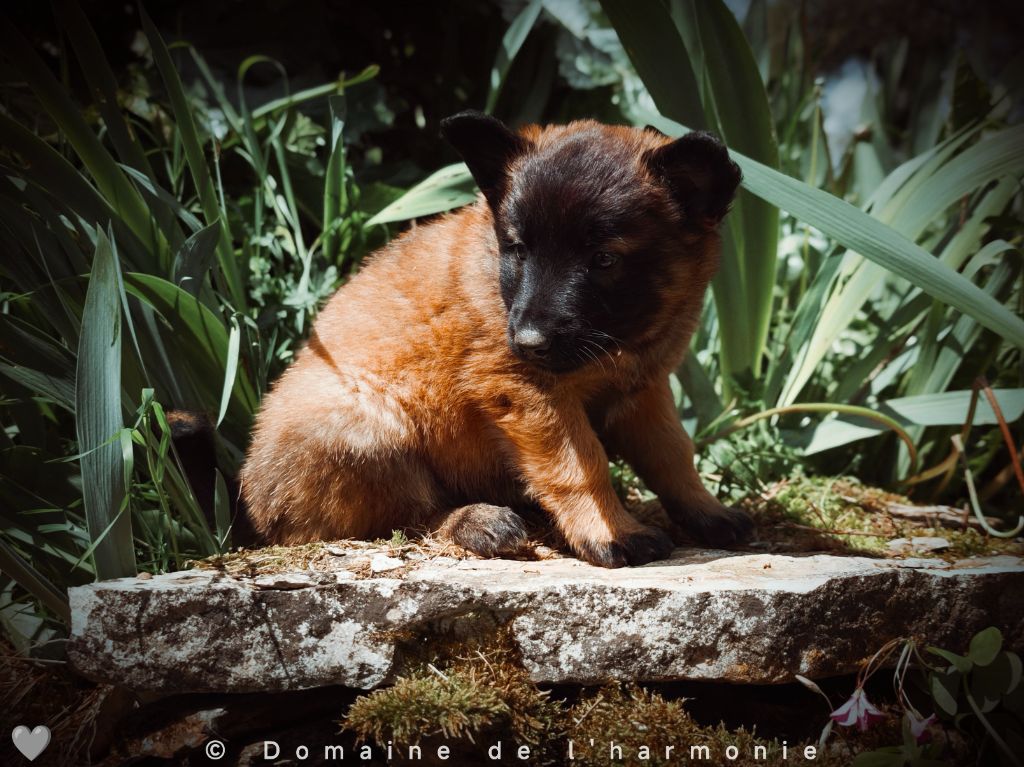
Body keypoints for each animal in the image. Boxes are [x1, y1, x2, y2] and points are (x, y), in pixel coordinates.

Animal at [240, 111, 753, 568]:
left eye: (604, 259)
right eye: (519, 250)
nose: (526, 343)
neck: (622, 342)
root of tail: (257, 507)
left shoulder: (643, 390)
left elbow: (674, 454)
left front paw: (707, 512)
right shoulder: (526, 393)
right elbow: (581, 464)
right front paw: (611, 530)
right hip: (365, 431)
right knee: (409, 515)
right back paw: (478, 521)